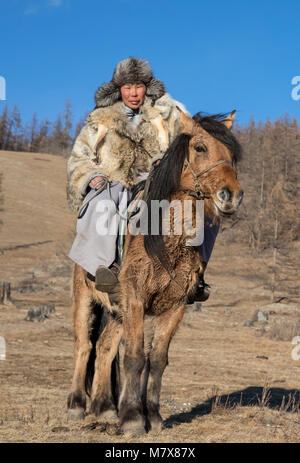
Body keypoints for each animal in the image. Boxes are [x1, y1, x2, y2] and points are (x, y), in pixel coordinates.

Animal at [67, 109, 243, 436]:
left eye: (232, 156)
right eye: (200, 147)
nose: (232, 196)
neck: (163, 240)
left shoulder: (175, 307)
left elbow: (158, 360)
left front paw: (154, 416)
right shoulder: (136, 299)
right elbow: (135, 357)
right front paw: (133, 418)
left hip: (118, 312)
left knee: (105, 347)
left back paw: (104, 408)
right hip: (84, 297)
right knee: (84, 346)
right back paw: (76, 405)